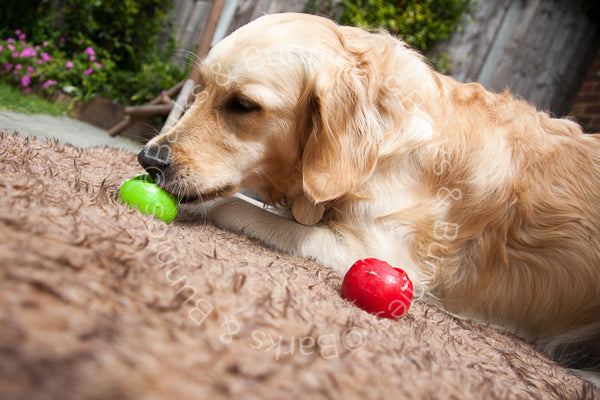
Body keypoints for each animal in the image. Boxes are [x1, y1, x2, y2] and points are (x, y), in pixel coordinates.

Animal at [137, 12, 600, 372]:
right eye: (199, 89)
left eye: (243, 105)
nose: (147, 159)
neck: (383, 145)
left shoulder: (378, 248)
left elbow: (233, 204)